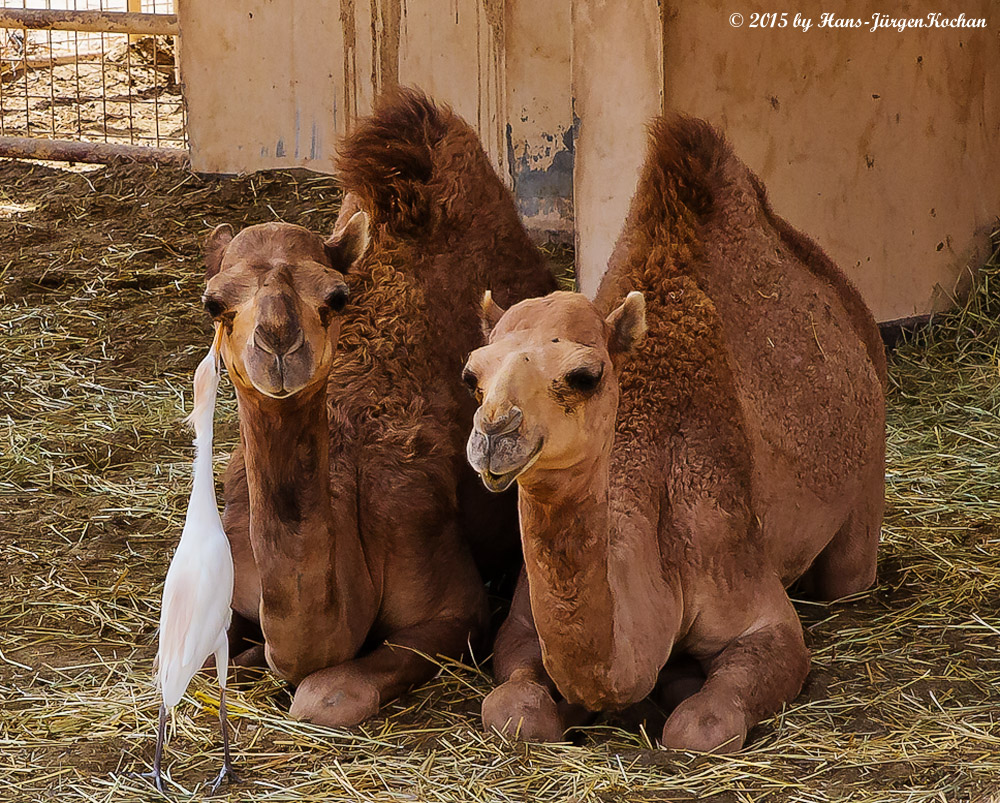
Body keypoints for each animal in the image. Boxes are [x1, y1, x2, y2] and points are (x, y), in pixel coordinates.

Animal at [199, 89, 560, 728]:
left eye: (335, 296)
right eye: (215, 303)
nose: (278, 342)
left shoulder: (448, 599)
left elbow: (325, 695)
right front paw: (246, 657)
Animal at [460, 114, 884, 752]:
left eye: (584, 375)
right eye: (472, 376)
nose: (494, 433)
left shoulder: (746, 583)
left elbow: (702, 725)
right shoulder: (519, 626)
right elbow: (514, 709)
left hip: (869, 472)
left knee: (849, 574)